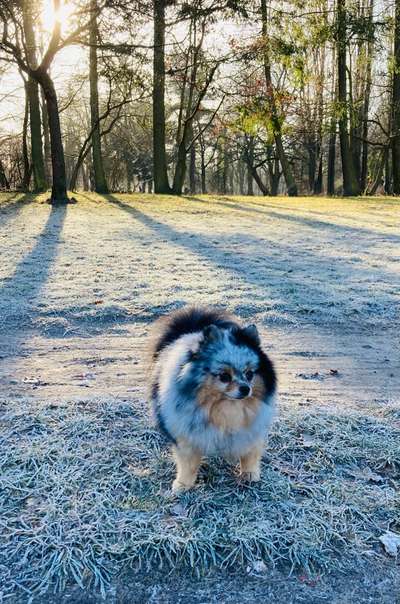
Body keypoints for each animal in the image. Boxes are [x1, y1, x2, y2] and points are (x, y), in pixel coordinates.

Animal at [148, 304, 276, 494]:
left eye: (249, 374)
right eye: (224, 376)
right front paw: (183, 485)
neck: (225, 408)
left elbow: (250, 454)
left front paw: (249, 475)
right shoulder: (187, 433)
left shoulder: (251, 429)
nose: (246, 389)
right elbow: (188, 463)